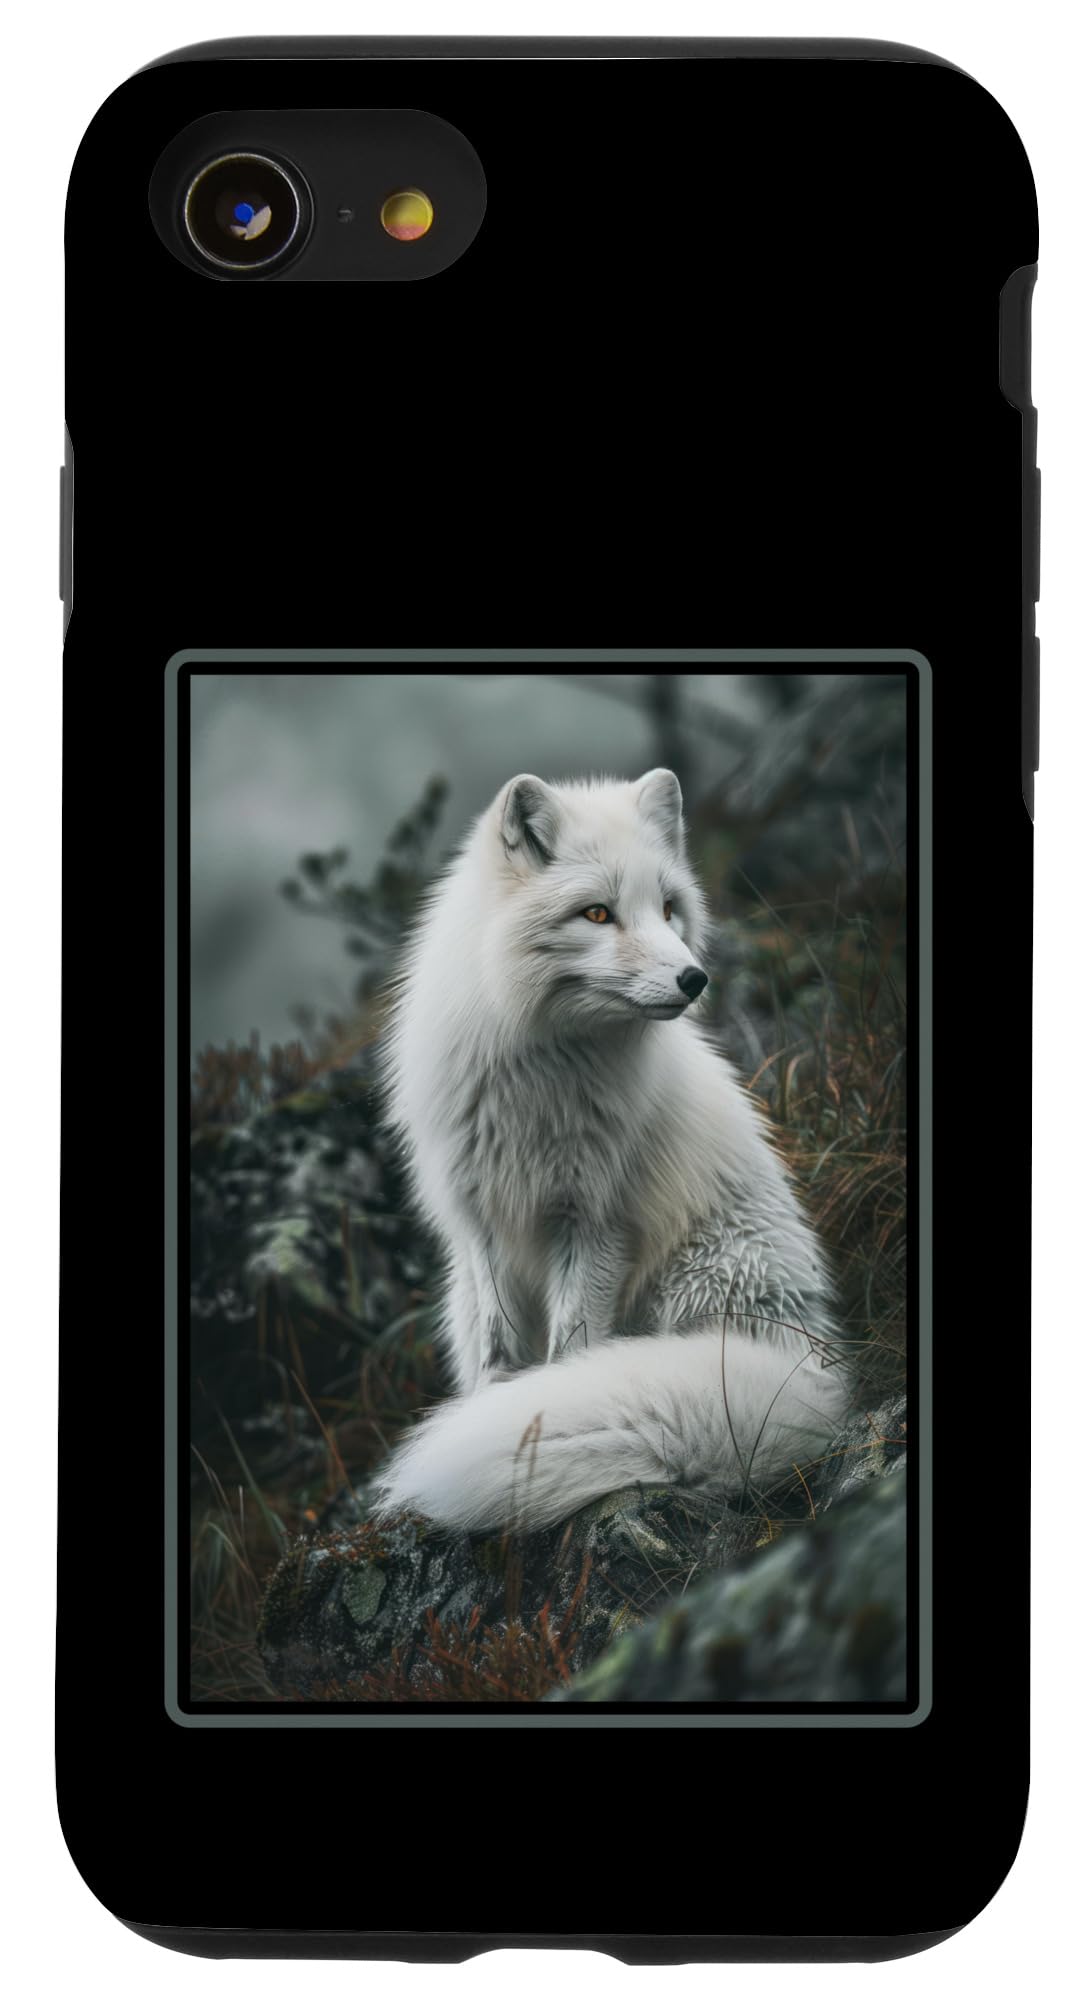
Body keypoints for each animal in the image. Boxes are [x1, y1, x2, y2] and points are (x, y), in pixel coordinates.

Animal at [375, 767, 847, 1533]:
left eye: (669, 908)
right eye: (597, 914)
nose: (694, 979)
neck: (541, 1077)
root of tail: (816, 1372)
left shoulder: (595, 1220)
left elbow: (570, 1350)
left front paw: (534, 1410)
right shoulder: (480, 1220)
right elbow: (500, 1349)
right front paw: (496, 1404)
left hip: (694, 1285)